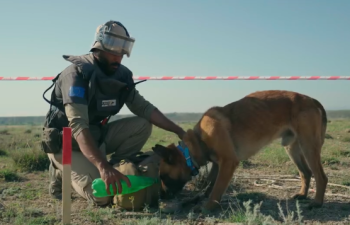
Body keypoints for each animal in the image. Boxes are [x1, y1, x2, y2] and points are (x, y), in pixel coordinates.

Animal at [152, 89, 328, 213]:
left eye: (163, 176)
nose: (161, 196)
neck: (198, 140)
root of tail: (312, 100)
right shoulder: (217, 165)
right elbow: (209, 184)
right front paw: (197, 198)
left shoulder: (228, 162)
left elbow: (216, 189)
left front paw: (206, 207)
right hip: (292, 148)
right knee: (306, 173)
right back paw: (303, 195)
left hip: (308, 146)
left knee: (321, 176)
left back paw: (317, 202)